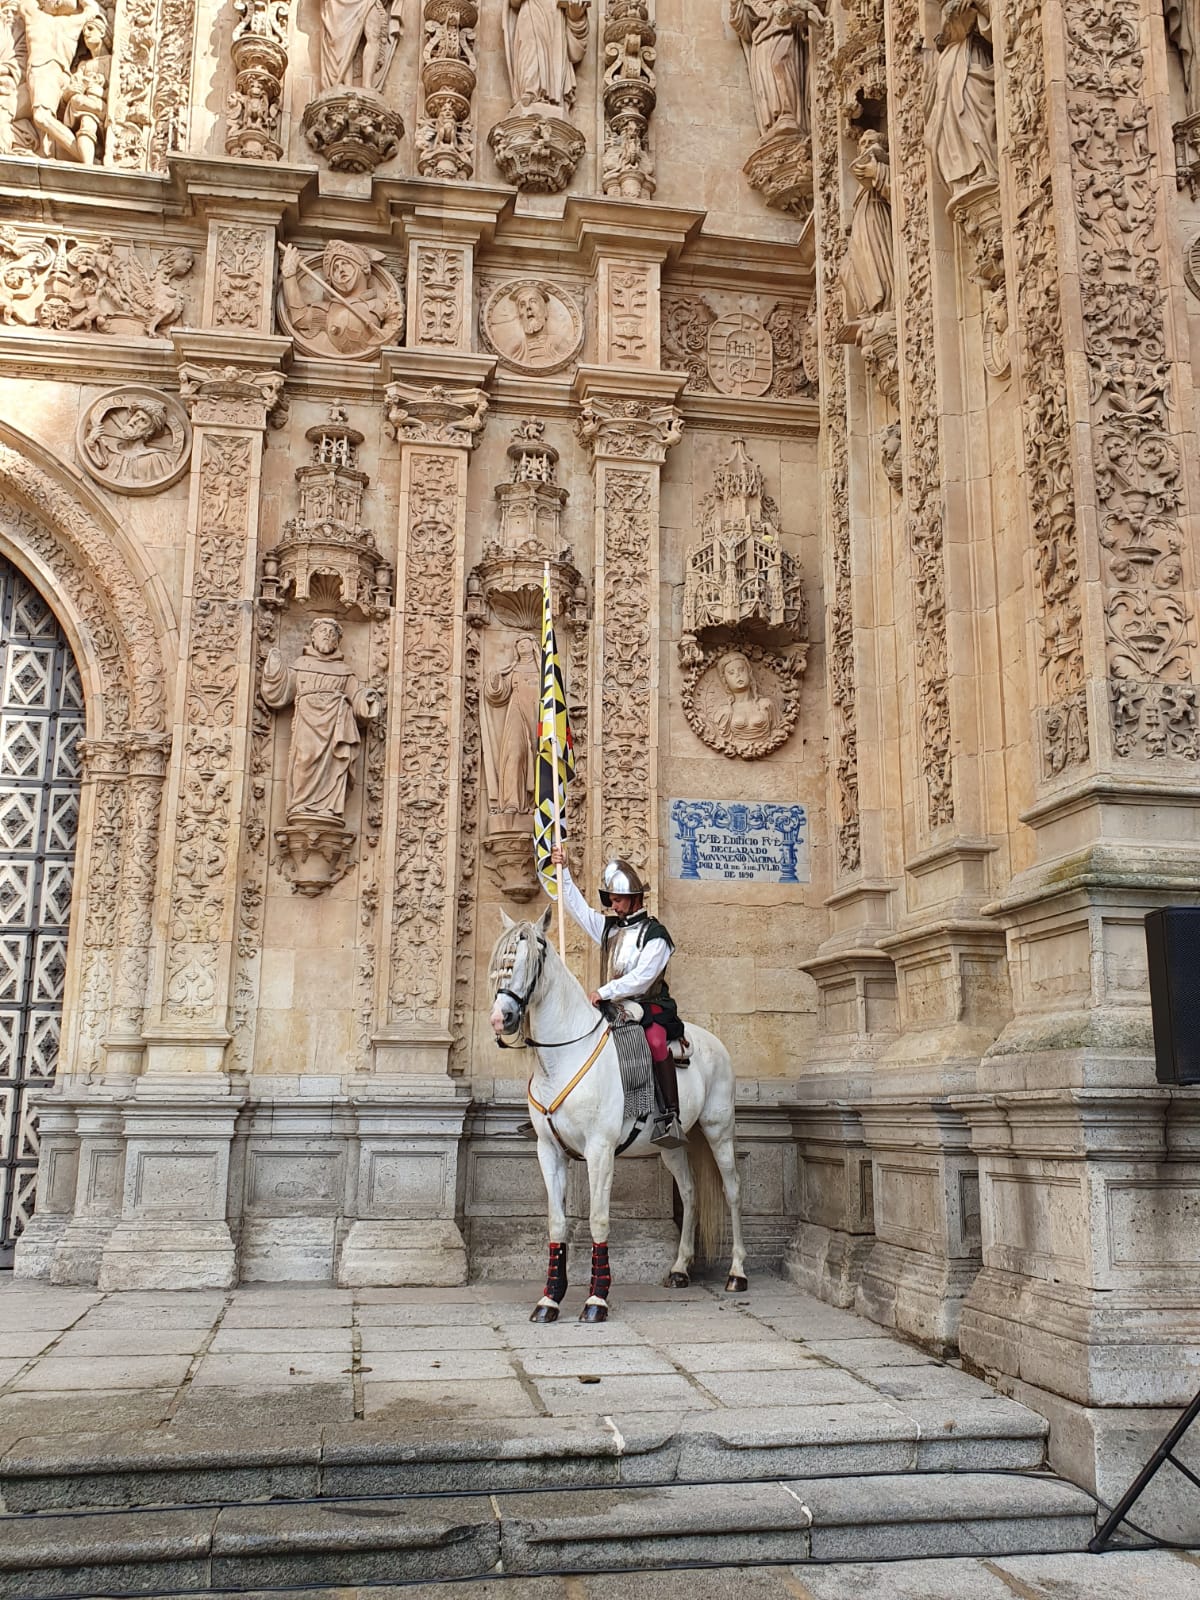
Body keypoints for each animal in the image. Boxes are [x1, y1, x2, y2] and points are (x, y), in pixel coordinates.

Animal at [489, 908, 742, 1318]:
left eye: (534, 957)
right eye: (500, 961)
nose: (502, 1018)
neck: (563, 1055)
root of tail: (713, 1042)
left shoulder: (600, 1150)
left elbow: (598, 1218)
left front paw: (596, 1298)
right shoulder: (549, 1150)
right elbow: (556, 1223)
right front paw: (549, 1298)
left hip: (719, 1130)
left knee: (732, 1190)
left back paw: (737, 1273)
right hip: (672, 1145)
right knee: (689, 1192)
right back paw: (679, 1269)